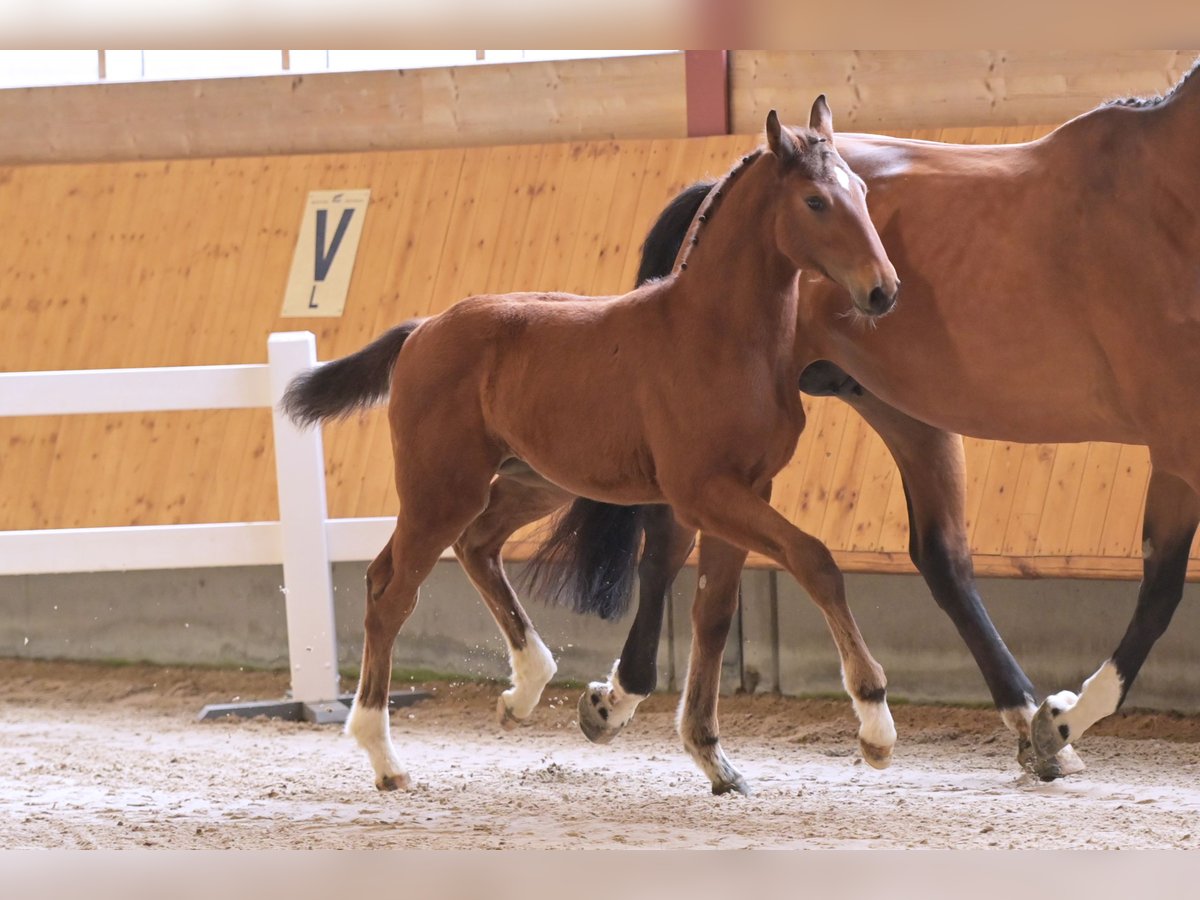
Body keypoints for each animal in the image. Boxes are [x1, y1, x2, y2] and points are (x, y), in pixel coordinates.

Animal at [280, 103, 902, 796]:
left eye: (864, 192)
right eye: (815, 200)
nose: (883, 290)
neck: (715, 336)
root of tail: (422, 331)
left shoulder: (746, 489)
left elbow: (714, 614)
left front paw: (713, 758)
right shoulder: (704, 492)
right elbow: (814, 559)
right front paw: (875, 725)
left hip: (533, 481)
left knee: (474, 546)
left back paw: (524, 690)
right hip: (441, 490)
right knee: (391, 591)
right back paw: (385, 757)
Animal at [532, 61, 1200, 782]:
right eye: (819, 203)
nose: (883, 288)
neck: (1170, 194)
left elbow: (1161, 584)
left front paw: (1057, 721)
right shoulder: (1179, 442)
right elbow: (1160, 592)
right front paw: (1068, 716)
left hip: (900, 412)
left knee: (939, 559)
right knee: (669, 541)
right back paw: (623, 697)